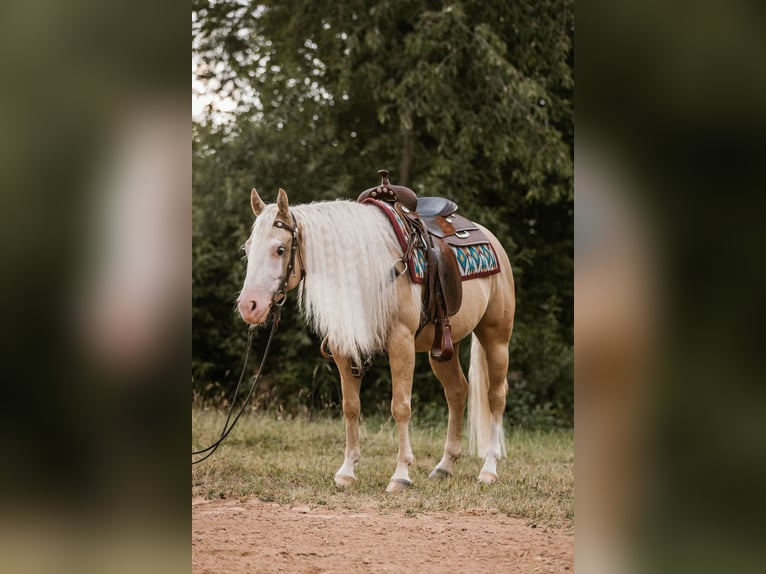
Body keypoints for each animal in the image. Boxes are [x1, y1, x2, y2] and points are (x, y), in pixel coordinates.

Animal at [237, 187, 515, 492]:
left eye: (280, 249)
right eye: (247, 249)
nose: (249, 306)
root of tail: (488, 236)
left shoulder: (401, 343)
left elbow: (401, 407)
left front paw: (401, 474)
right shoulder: (342, 348)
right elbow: (351, 407)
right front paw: (346, 471)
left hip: (496, 337)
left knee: (496, 396)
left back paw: (489, 468)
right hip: (443, 348)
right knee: (457, 392)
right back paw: (444, 466)